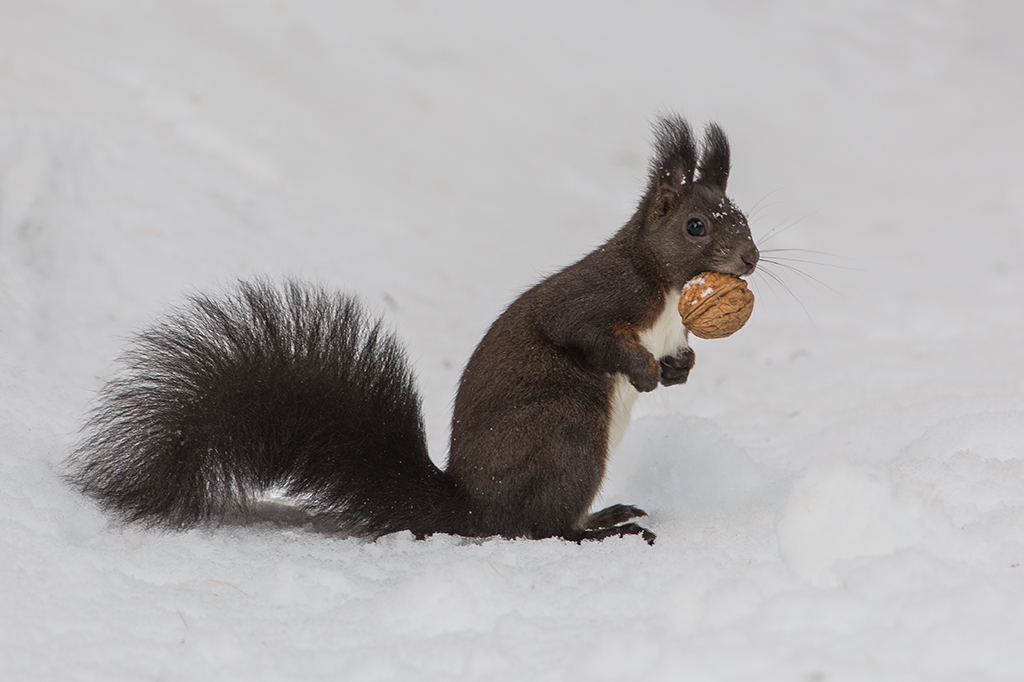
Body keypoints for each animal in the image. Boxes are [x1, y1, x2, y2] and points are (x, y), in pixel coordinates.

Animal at [67, 114, 759, 546]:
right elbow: (581, 331)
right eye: (697, 225)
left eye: (745, 216)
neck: (665, 287)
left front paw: (678, 370)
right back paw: (605, 531)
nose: (752, 259)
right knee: (537, 528)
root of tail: (472, 506)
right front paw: (642, 371)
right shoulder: (602, 295)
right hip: (566, 430)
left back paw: (607, 513)